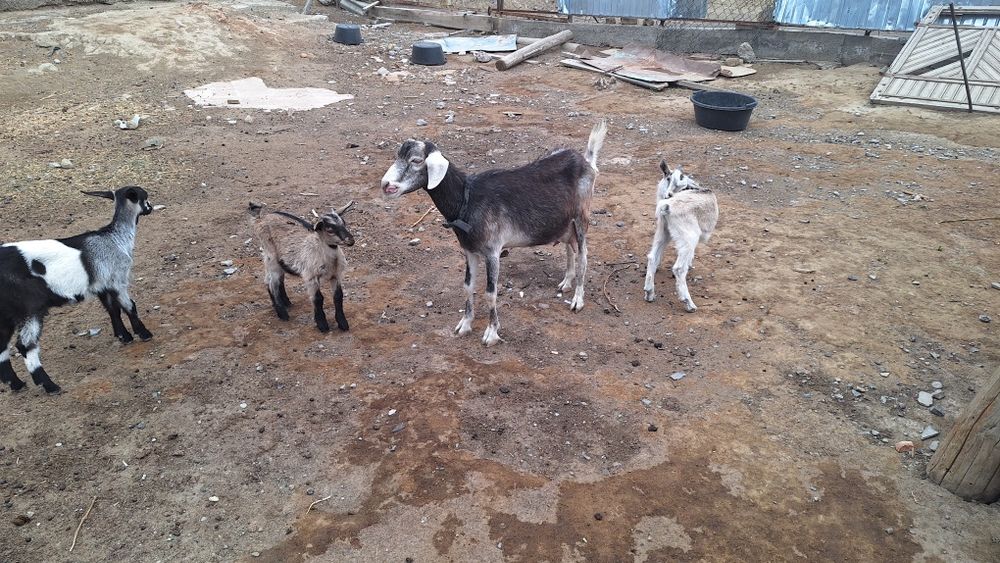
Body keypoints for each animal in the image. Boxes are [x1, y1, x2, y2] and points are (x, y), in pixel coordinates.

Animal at [0, 186, 154, 394]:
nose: (150, 208)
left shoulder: (101, 285)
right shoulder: (117, 280)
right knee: (25, 345)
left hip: (6, 313)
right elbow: (130, 307)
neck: (115, 238)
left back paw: (15, 384)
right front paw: (144, 333)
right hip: (29, 309)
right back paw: (49, 385)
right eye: (145, 197)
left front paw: (124, 336)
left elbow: (113, 310)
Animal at [249, 202, 355, 333]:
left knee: (276, 279)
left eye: (344, 223)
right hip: (270, 255)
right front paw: (322, 325)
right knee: (271, 282)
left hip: (278, 259)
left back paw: (286, 302)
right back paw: (282, 312)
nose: (351, 240)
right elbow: (318, 299)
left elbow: (338, 297)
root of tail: (260, 219)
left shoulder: (336, 275)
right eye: (329, 229)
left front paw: (342, 323)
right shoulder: (310, 276)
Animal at [380, 121, 607, 346]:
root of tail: (586, 160)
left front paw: (491, 333)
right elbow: (468, 285)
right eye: (397, 156)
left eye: (416, 160)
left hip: (581, 216)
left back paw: (577, 299)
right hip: (565, 222)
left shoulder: (492, 251)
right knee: (569, 248)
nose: (386, 185)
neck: (467, 199)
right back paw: (567, 282)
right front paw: (465, 324)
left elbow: (490, 293)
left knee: (583, 255)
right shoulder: (469, 250)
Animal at [643, 160, 719, 312]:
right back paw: (689, 303)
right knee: (678, 268)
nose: (668, 193)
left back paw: (649, 293)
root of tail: (667, 206)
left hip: (663, 232)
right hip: (689, 237)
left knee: (652, 257)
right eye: (668, 178)